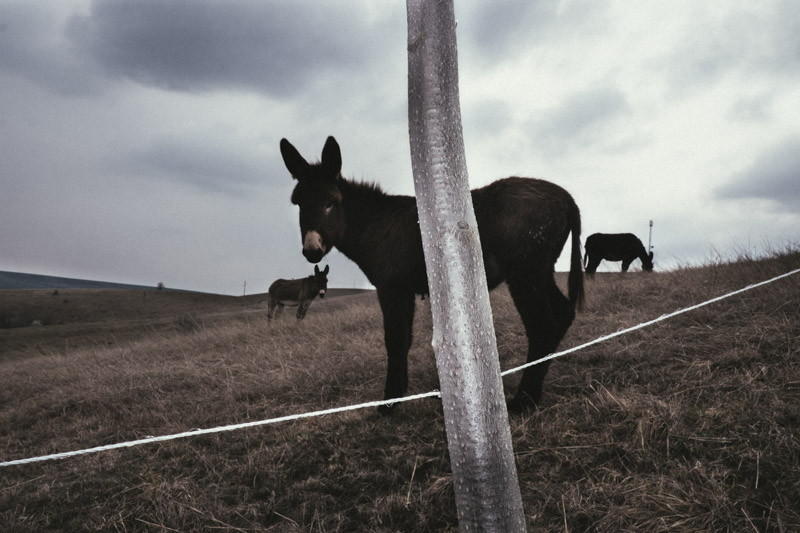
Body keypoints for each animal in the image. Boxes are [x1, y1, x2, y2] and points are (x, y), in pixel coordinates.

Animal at [280, 136, 584, 412]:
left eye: (330, 202)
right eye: (298, 203)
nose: (312, 251)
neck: (376, 225)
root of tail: (567, 198)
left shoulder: (391, 290)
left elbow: (395, 341)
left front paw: (388, 403)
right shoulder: (404, 292)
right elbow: (405, 341)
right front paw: (399, 394)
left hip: (524, 271)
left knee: (542, 326)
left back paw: (524, 400)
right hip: (542, 270)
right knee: (563, 313)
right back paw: (533, 392)